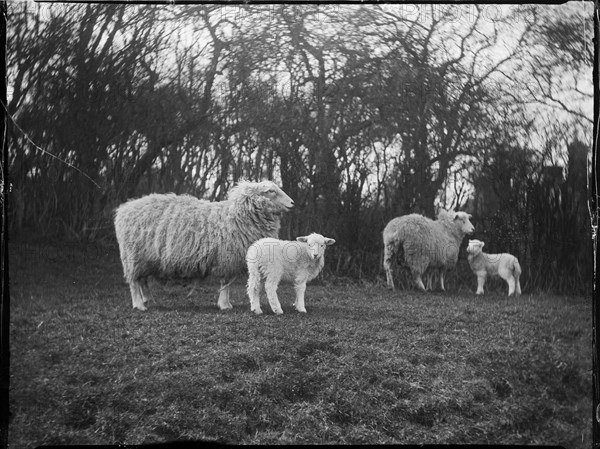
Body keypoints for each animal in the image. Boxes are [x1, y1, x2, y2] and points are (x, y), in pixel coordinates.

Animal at [113, 178, 294, 308]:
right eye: (271, 191)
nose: (292, 203)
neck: (237, 216)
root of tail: (124, 209)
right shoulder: (226, 257)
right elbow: (225, 282)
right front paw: (224, 305)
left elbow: (227, 282)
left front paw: (226, 303)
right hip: (133, 255)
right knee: (134, 282)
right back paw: (139, 305)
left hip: (145, 258)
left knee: (142, 280)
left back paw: (147, 300)